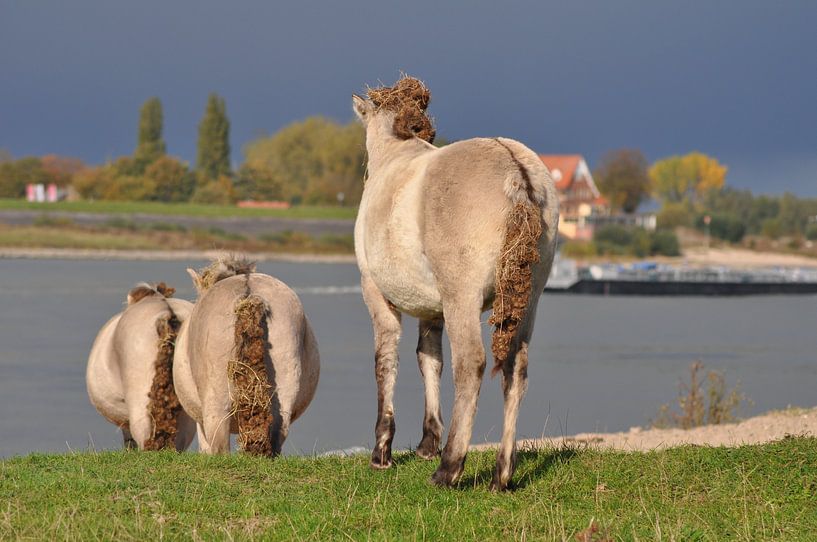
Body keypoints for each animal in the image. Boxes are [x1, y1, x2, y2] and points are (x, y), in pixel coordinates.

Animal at [352, 76, 559, 490]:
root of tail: (516, 173)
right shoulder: (433, 308)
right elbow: (429, 359)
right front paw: (427, 442)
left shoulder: (375, 293)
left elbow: (386, 360)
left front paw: (382, 450)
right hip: (528, 299)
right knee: (515, 369)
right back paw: (501, 473)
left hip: (462, 297)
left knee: (471, 364)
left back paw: (449, 468)